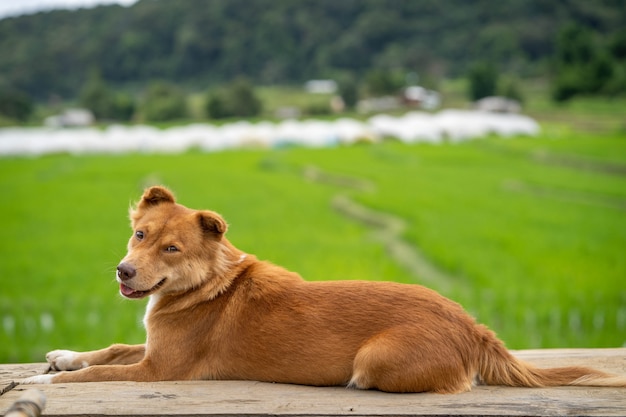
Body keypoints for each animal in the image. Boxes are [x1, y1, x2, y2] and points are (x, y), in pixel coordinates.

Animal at [24, 185, 624, 390]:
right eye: (140, 235)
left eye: (171, 249)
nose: (124, 272)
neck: (207, 283)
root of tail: (470, 324)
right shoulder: (150, 347)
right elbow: (107, 349)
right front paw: (62, 356)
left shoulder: (159, 368)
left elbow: (100, 371)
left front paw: (48, 380)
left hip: (375, 360)